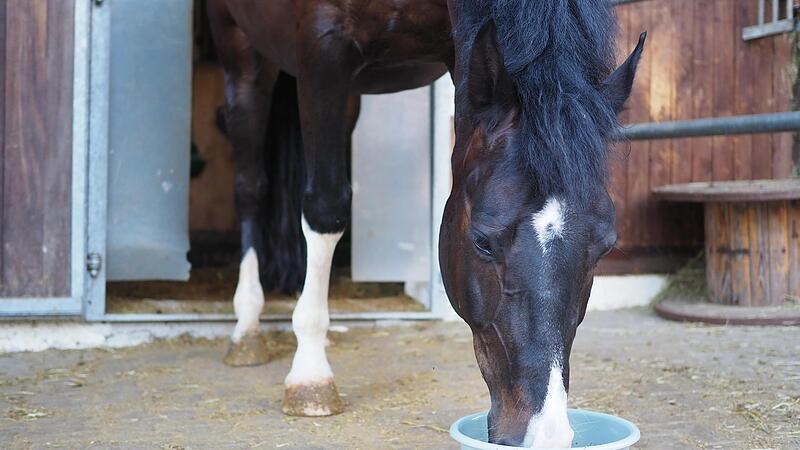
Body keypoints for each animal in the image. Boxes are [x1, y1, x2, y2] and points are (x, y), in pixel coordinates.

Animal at [207, 0, 644, 447]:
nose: (545, 433)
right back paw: (247, 327)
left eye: (604, 247)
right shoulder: (323, 49)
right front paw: (310, 376)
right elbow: (326, 208)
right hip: (240, 50)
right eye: (482, 242)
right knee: (250, 185)